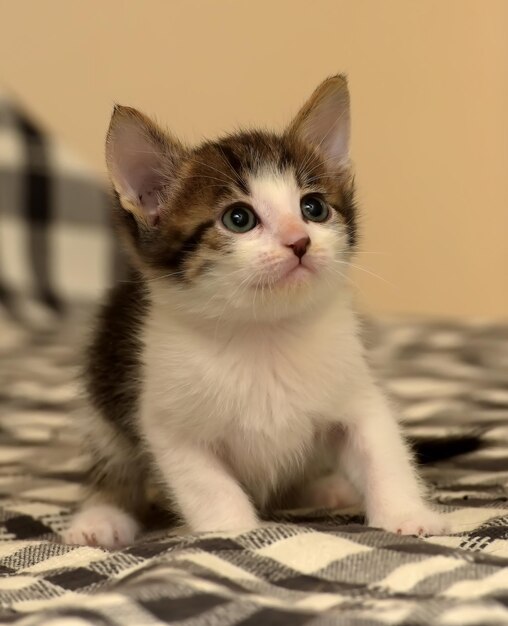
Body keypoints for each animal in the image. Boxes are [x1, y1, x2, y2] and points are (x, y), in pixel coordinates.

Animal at [64, 77, 448, 544]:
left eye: (313, 208)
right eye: (239, 218)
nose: (300, 241)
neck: (264, 331)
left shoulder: (356, 394)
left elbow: (381, 450)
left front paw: (406, 514)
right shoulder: (168, 424)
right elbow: (208, 485)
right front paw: (235, 531)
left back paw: (327, 487)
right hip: (103, 398)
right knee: (114, 463)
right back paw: (100, 516)